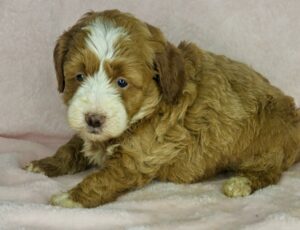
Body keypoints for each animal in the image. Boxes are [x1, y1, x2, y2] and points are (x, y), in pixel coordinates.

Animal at [24, 9, 300, 208]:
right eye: (79, 76)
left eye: (122, 82)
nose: (94, 119)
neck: (146, 109)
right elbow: (70, 149)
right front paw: (44, 164)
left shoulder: (141, 155)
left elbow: (105, 177)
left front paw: (71, 198)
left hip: (268, 140)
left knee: (271, 171)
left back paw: (241, 183)